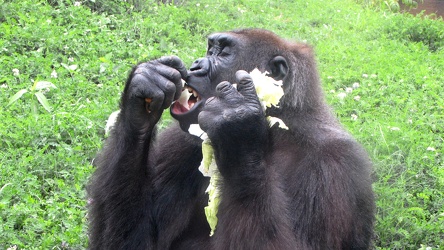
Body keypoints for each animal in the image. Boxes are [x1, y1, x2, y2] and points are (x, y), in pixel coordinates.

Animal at [87, 28, 374, 249]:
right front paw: (142, 96)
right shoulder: (185, 139)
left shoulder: (335, 165)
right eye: (209, 50)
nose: (195, 65)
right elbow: (138, 241)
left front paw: (238, 130)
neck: (282, 129)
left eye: (223, 53)